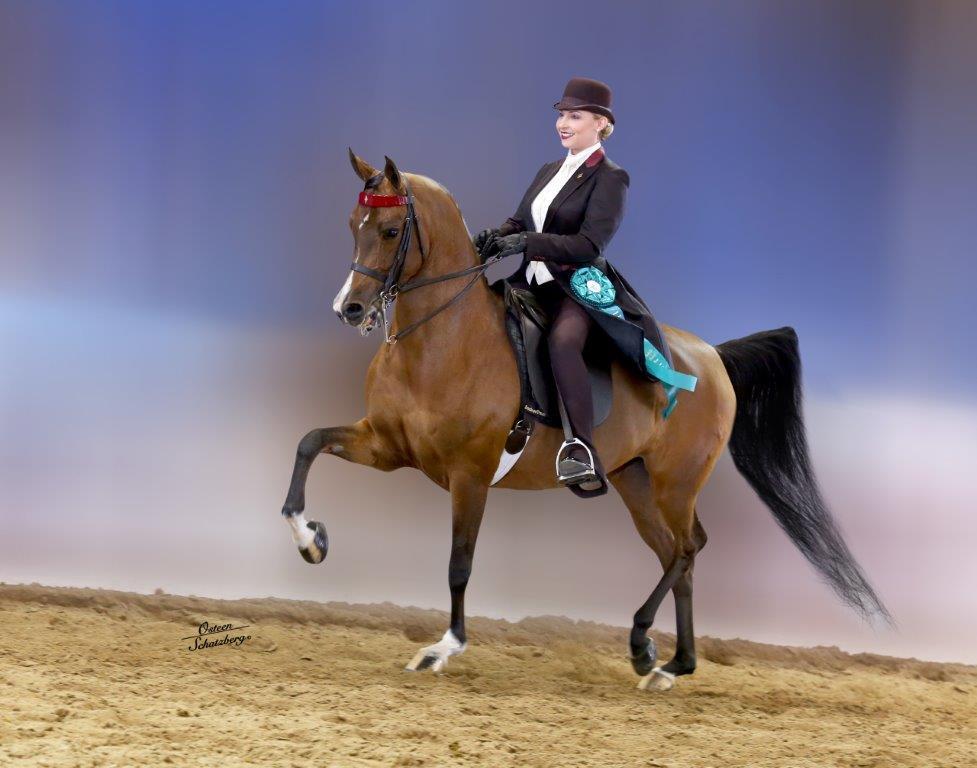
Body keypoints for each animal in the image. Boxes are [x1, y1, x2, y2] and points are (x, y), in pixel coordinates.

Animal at [280, 149, 892, 691]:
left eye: (388, 231)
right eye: (352, 224)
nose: (349, 309)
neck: (439, 340)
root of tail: (713, 358)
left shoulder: (470, 475)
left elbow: (459, 563)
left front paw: (443, 648)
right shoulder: (386, 447)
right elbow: (309, 443)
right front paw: (311, 539)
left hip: (675, 482)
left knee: (689, 548)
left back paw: (644, 643)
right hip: (634, 479)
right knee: (676, 553)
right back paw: (671, 665)